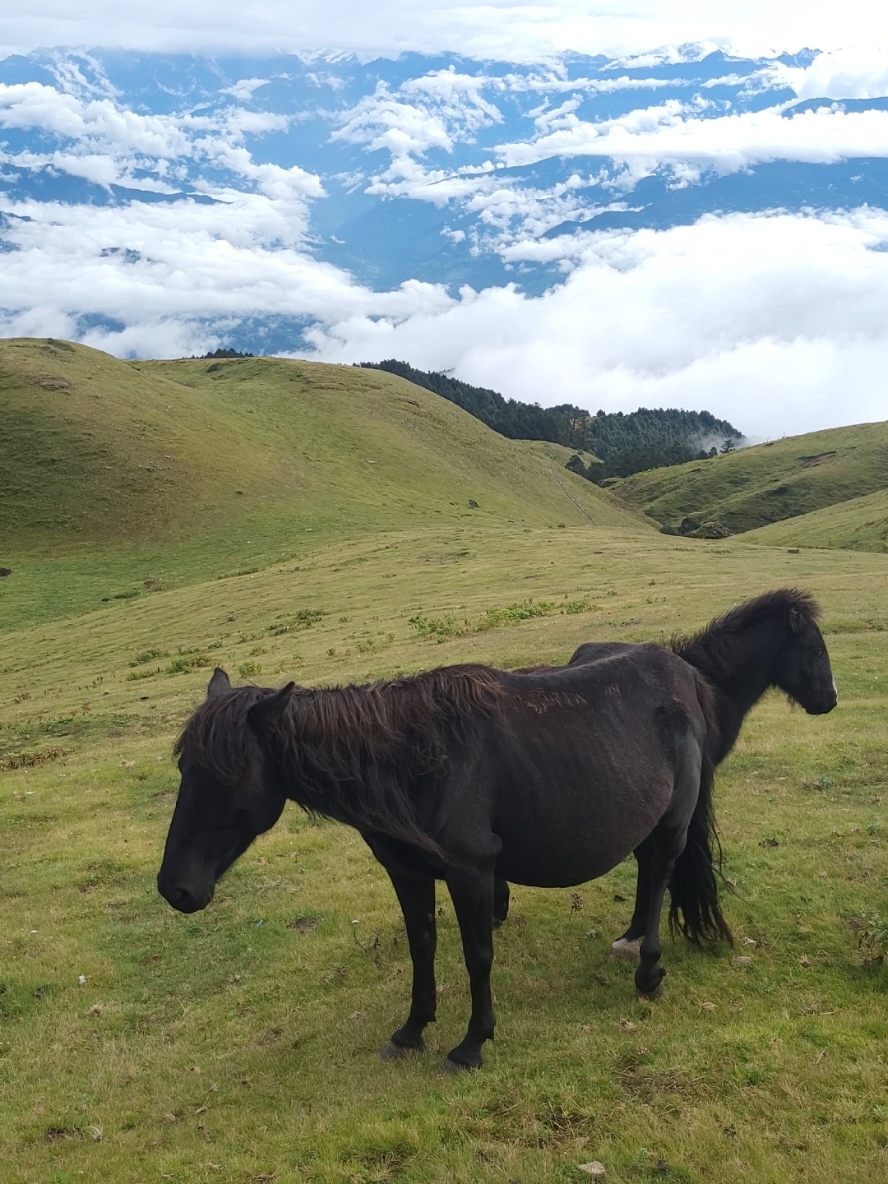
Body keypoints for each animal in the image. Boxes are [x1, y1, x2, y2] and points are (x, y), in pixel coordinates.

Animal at [159, 648, 729, 1075]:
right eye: (186, 768)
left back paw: (648, 970)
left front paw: (472, 1043)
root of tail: (684, 673)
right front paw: (412, 1030)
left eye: (228, 775)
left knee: (661, 873)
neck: (416, 759)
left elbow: (478, 954)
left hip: (672, 826)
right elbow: (422, 948)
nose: (174, 888)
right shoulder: (408, 873)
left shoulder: (471, 872)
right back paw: (630, 944)